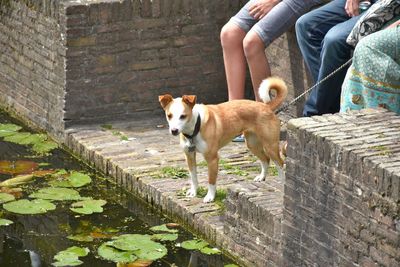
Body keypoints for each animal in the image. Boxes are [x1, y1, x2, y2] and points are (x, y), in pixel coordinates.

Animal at [159, 77, 288, 203]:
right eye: (169, 115)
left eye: (183, 116)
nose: (174, 130)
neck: (196, 126)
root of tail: (266, 106)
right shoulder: (189, 156)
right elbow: (193, 177)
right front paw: (194, 192)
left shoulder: (212, 159)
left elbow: (211, 180)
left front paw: (210, 197)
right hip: (252, 144)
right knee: (265, 159)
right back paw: (262, 177)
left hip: (270, 146)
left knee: (281, 164)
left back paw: (282, 182)